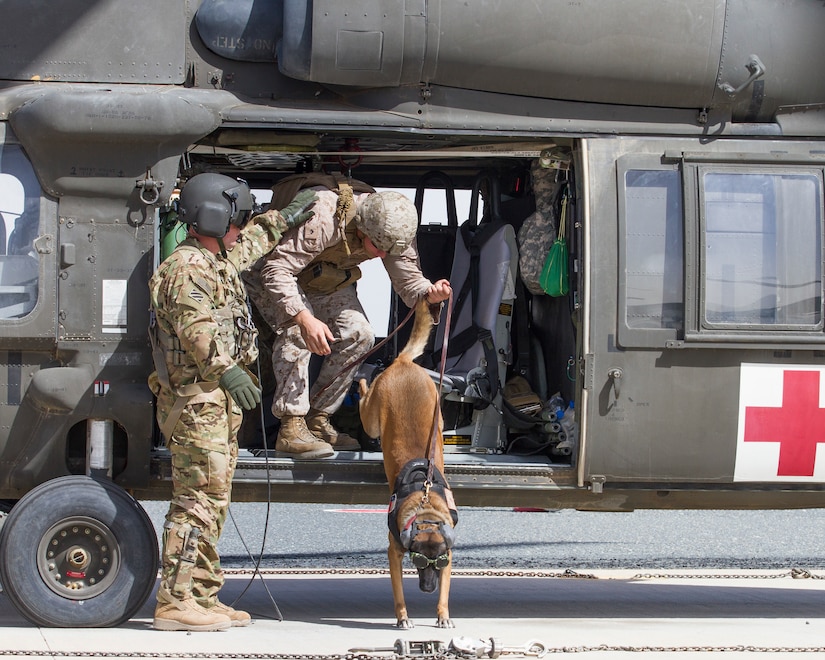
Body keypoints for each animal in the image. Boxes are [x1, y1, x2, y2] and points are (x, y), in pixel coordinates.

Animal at [356, 300, 458, 628]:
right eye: (418, 561)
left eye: (438, 561)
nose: (427, 589)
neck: (425, 511)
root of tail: (402, 363)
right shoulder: (394, 553)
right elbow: (398, 592)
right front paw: (403, 617)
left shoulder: (450, 558)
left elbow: (446, 592)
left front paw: (442, 614)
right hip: (372, 419)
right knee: (363, 397)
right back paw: (361, 382)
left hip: (438, 414)